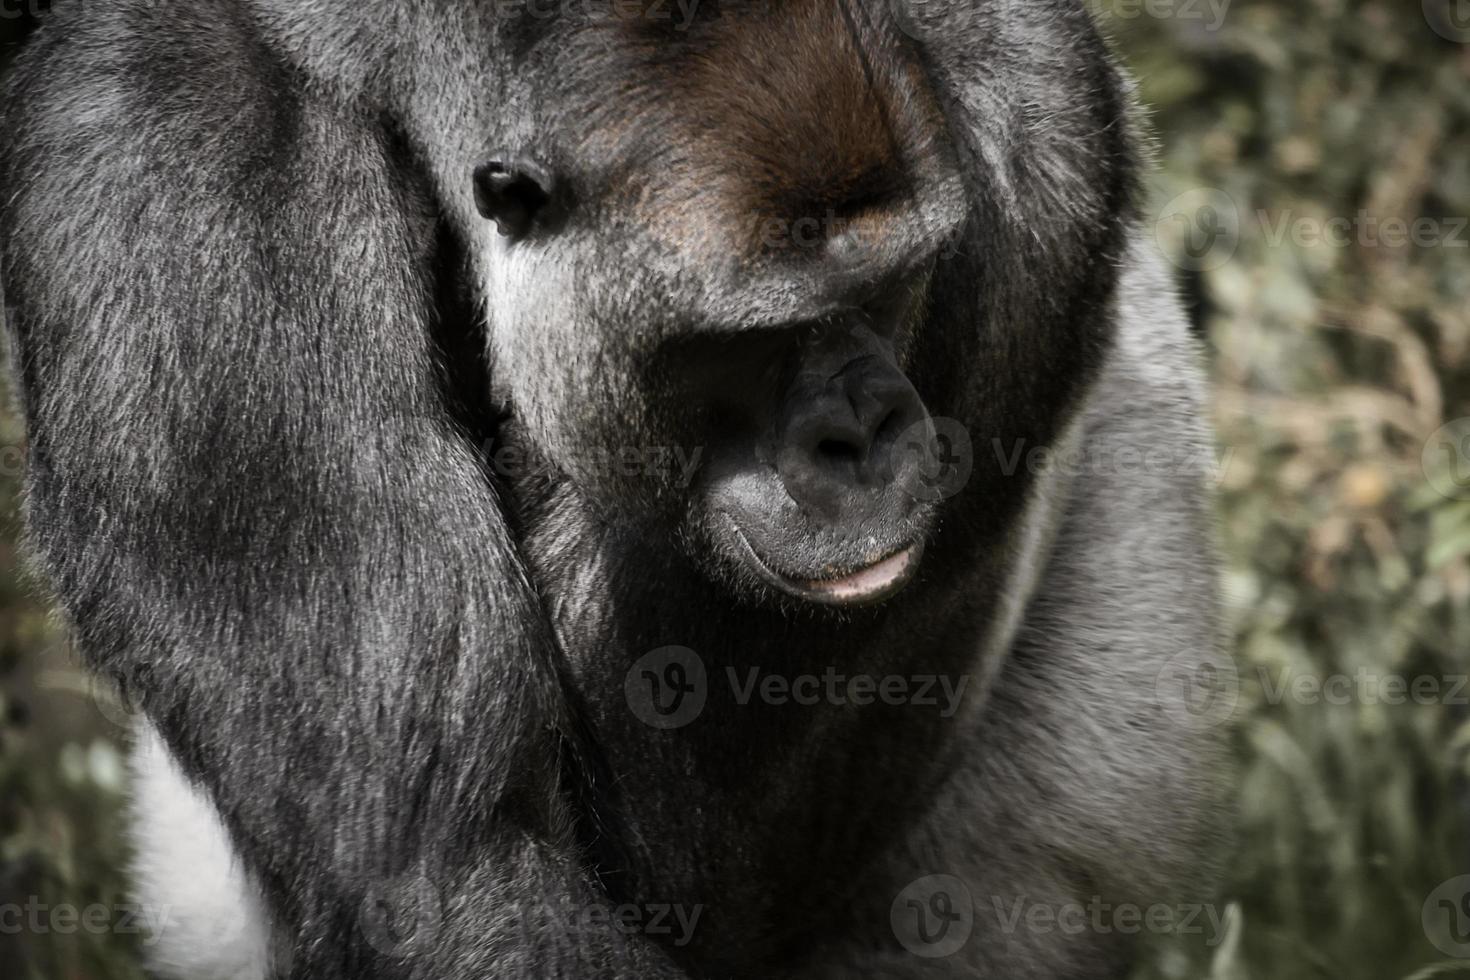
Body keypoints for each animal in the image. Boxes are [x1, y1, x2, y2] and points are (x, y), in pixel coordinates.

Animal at [0, 1, 1234, 980]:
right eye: (756, 340)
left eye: (892, 287)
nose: (864, 432)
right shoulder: (165, 166)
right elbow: (449, 865)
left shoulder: (1046, 132)